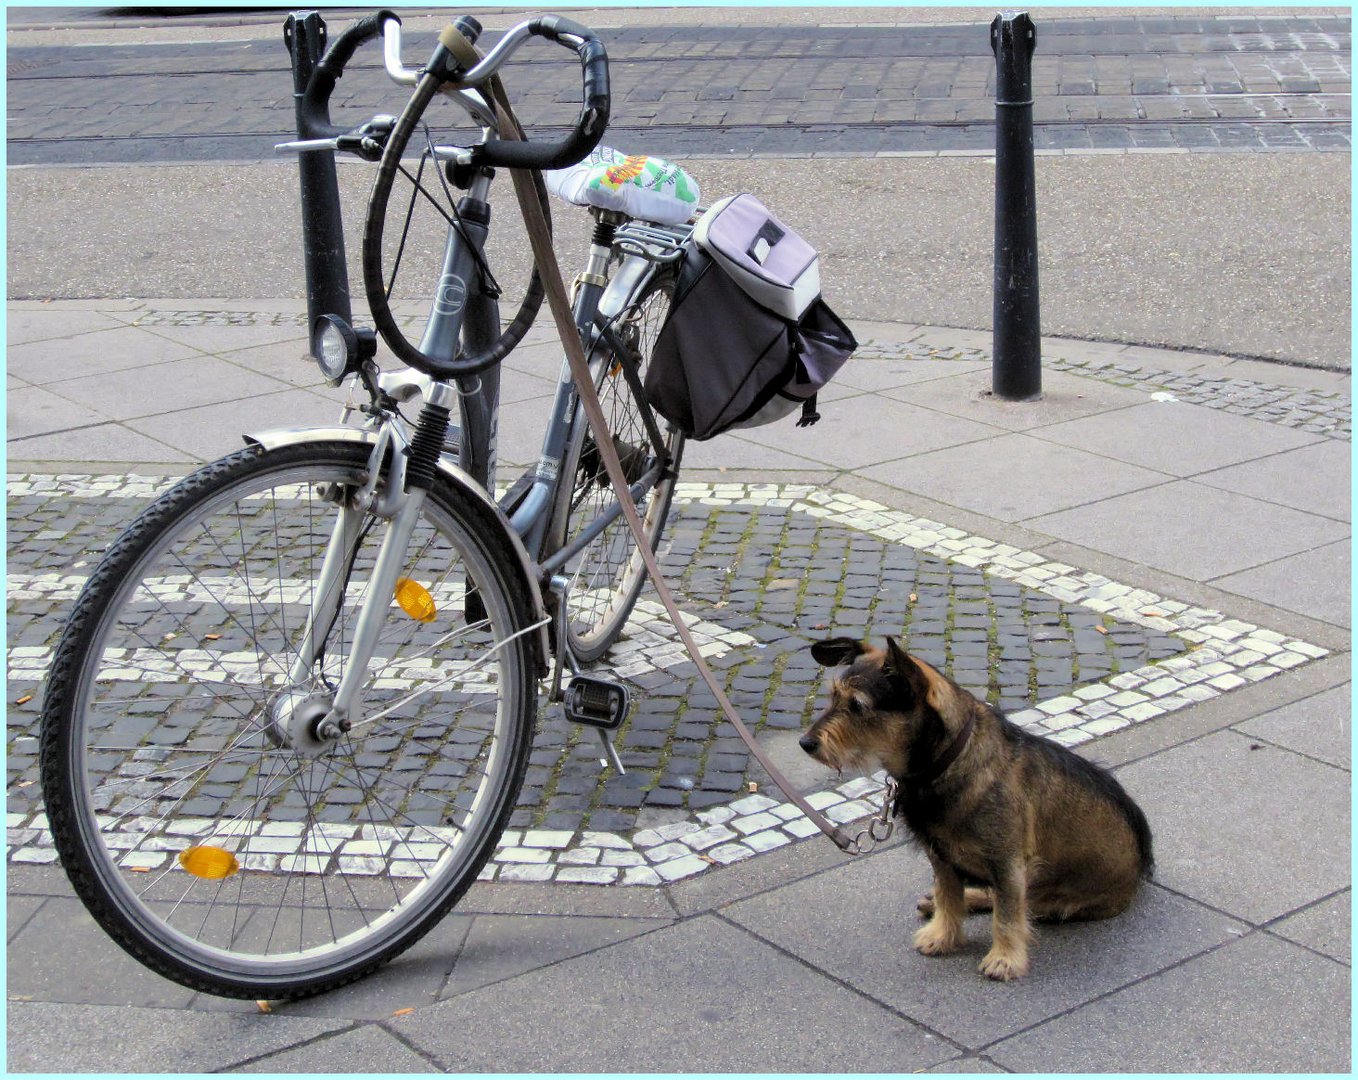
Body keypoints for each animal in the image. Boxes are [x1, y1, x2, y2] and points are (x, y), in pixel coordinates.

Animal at [798, 638, 1151, 983]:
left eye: (857, 706)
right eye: (833, 697)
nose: (806, 743)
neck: (948, 761)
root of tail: (1141, 872)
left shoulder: (1008, 862)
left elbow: (1008, 915)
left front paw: (1005, 959)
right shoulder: (941, 858)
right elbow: (948, 898)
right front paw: (942, 935)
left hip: (1060, 899)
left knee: (1021, 904)